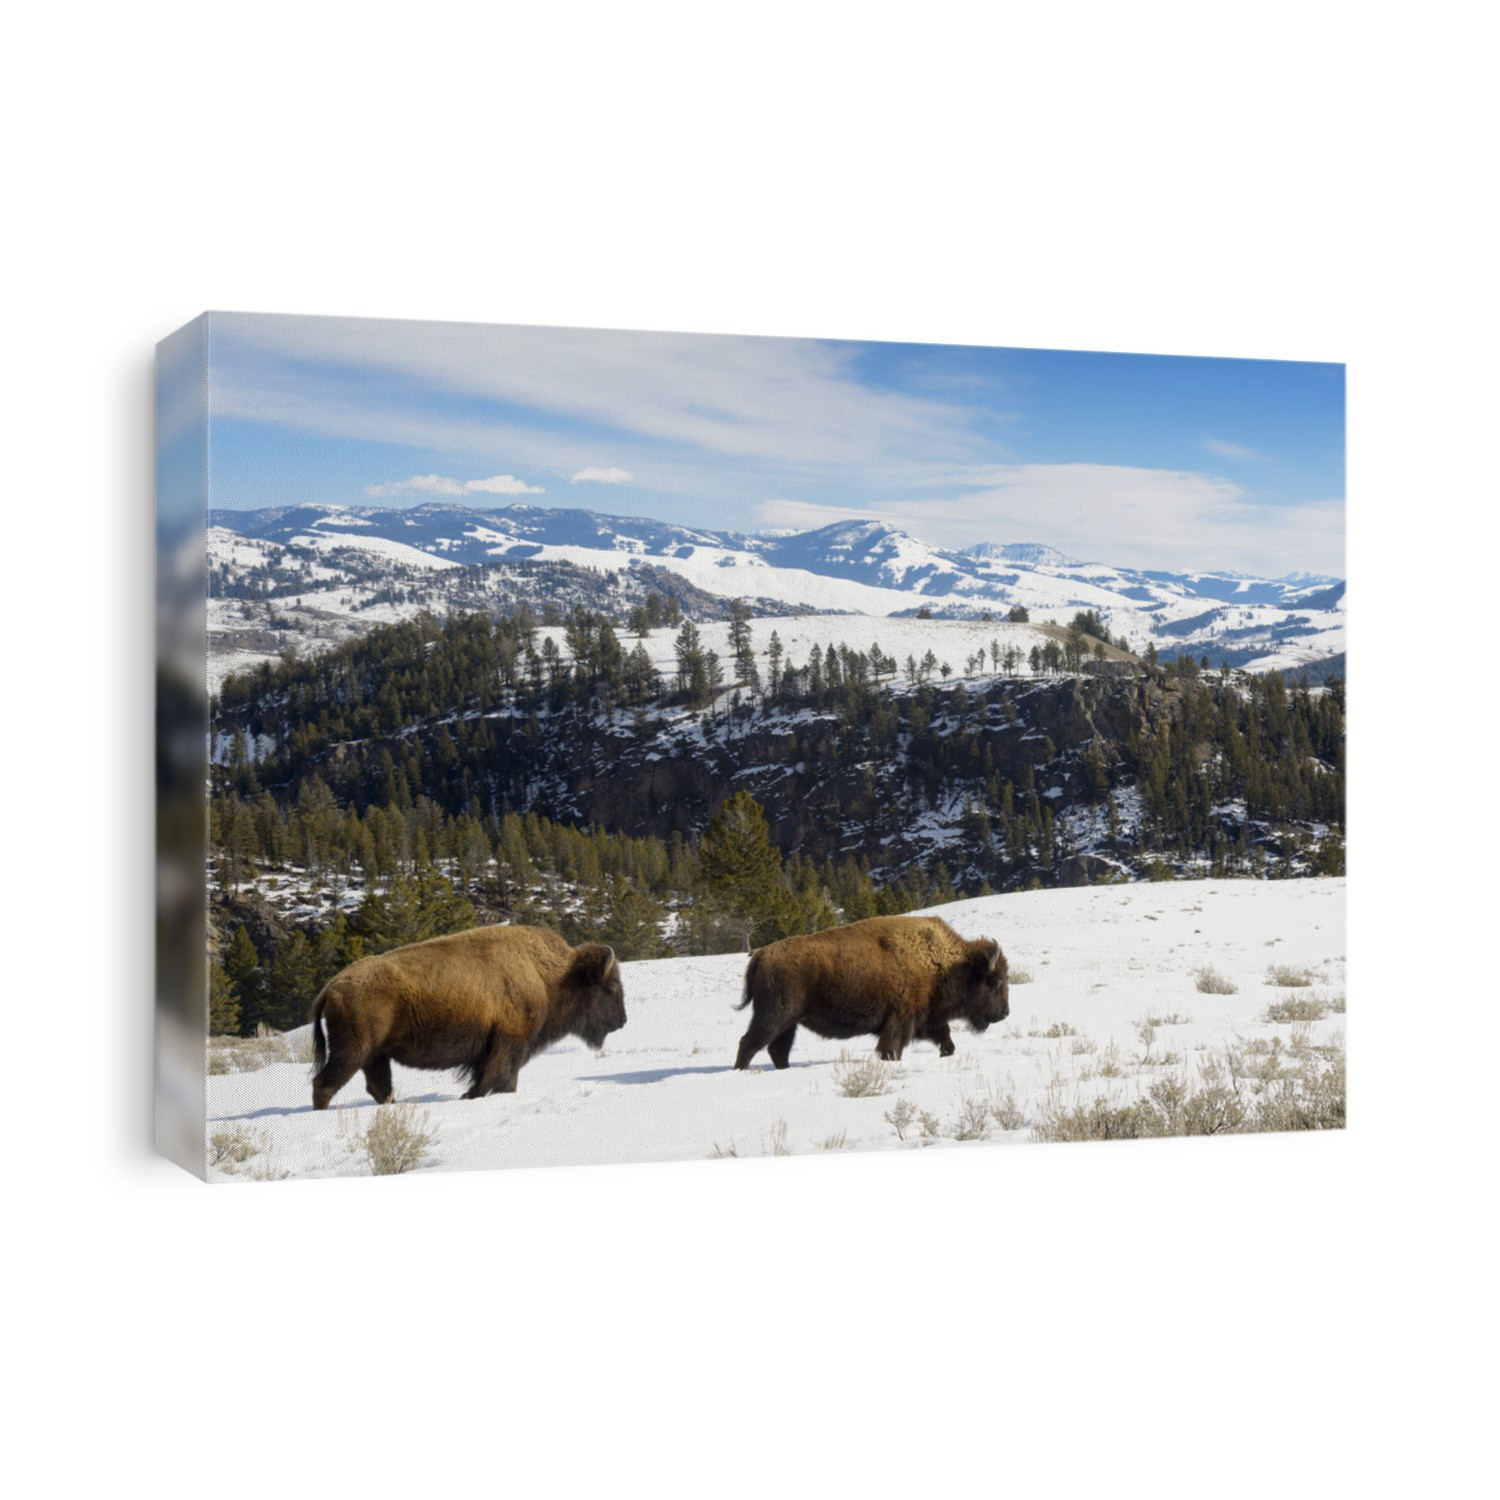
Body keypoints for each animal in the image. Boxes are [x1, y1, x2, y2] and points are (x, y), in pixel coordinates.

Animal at [310, 924, 626, 1109]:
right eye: (610, 986)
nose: (622, 1020)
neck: (549, 975)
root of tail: (332, 986)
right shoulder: (509, 1045)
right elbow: (498, 1079)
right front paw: (474, 1096)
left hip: (376, 1055)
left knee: (377, 1086)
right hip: (353, 1051)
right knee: (325, 1084)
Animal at [733, 915, 1008, 1070]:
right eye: (995, 982)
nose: (1005, 1013)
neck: (942, 962)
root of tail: (761, 954)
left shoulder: (928, 1019)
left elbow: (946, 1039)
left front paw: (946, 1054)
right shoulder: (900, 1021)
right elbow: (892, 1049)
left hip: (789, 1023)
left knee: (777, 1049)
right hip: (774, 1016)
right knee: (749, 1043)